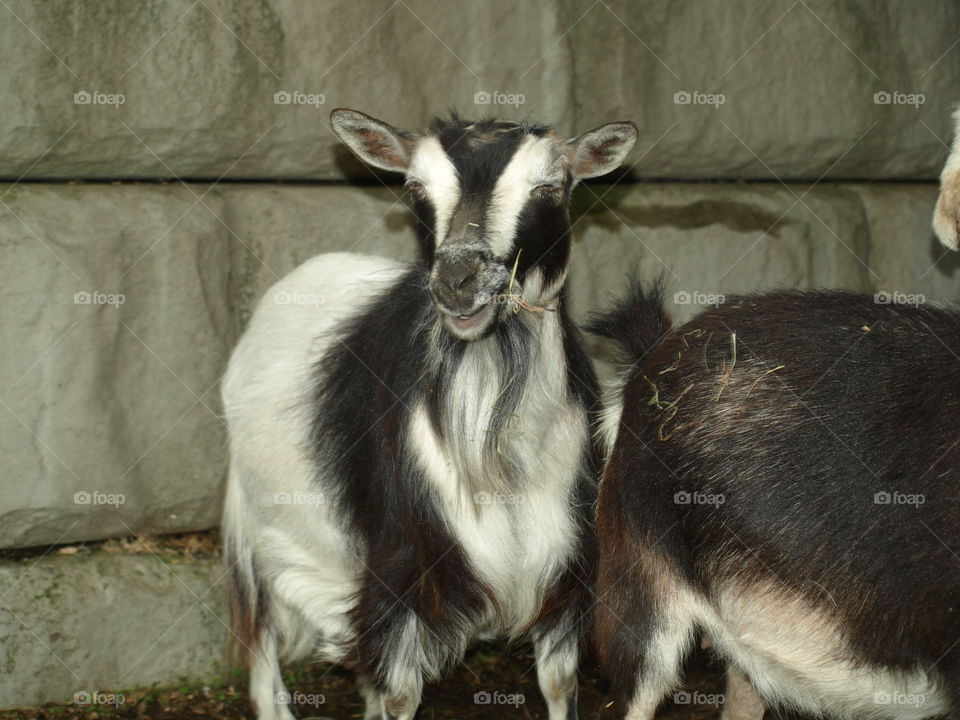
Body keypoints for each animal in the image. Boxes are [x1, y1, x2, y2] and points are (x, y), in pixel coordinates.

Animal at [221, 109, 637, 720]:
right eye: (416, 189)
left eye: (549, 188)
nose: (459, 280)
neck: (501, 457)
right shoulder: (403, 571)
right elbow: (400, 694)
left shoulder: (564, 568)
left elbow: (560, 684)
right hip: (262, 530)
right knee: (263, 647)